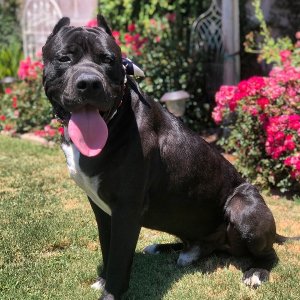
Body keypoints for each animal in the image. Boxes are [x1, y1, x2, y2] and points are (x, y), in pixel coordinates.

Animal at [42, 17, 298, 300]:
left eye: (107, 59)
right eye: (64, 58)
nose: (89, 83)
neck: (115, 119)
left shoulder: (126, 209)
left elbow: (119, 259)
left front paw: (110, 292)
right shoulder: (101, 208)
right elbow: (108, 248)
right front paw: (103, 279)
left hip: (243, 207)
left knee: (268, 253)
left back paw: (256, 272)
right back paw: (171, 249)